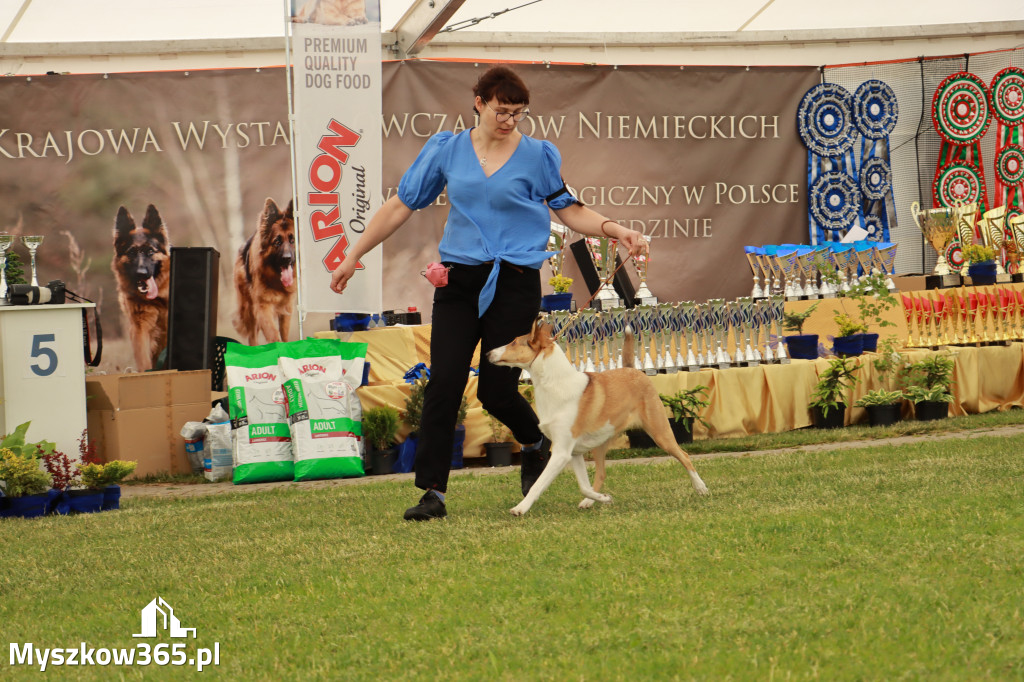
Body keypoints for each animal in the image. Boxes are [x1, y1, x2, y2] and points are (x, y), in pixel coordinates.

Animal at [485, 315, 708, 512]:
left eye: (514, 342)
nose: (487, 354)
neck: (554, 385)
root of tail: (632, 370)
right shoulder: (573, 452)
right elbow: (584, 486)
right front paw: (603, 498)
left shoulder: (561, 452)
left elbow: (537, 485)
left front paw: (520, 508)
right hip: (600, 442)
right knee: (601, 474)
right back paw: (590, 502)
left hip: (660, 432)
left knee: (685, 456)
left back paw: (701, 488)